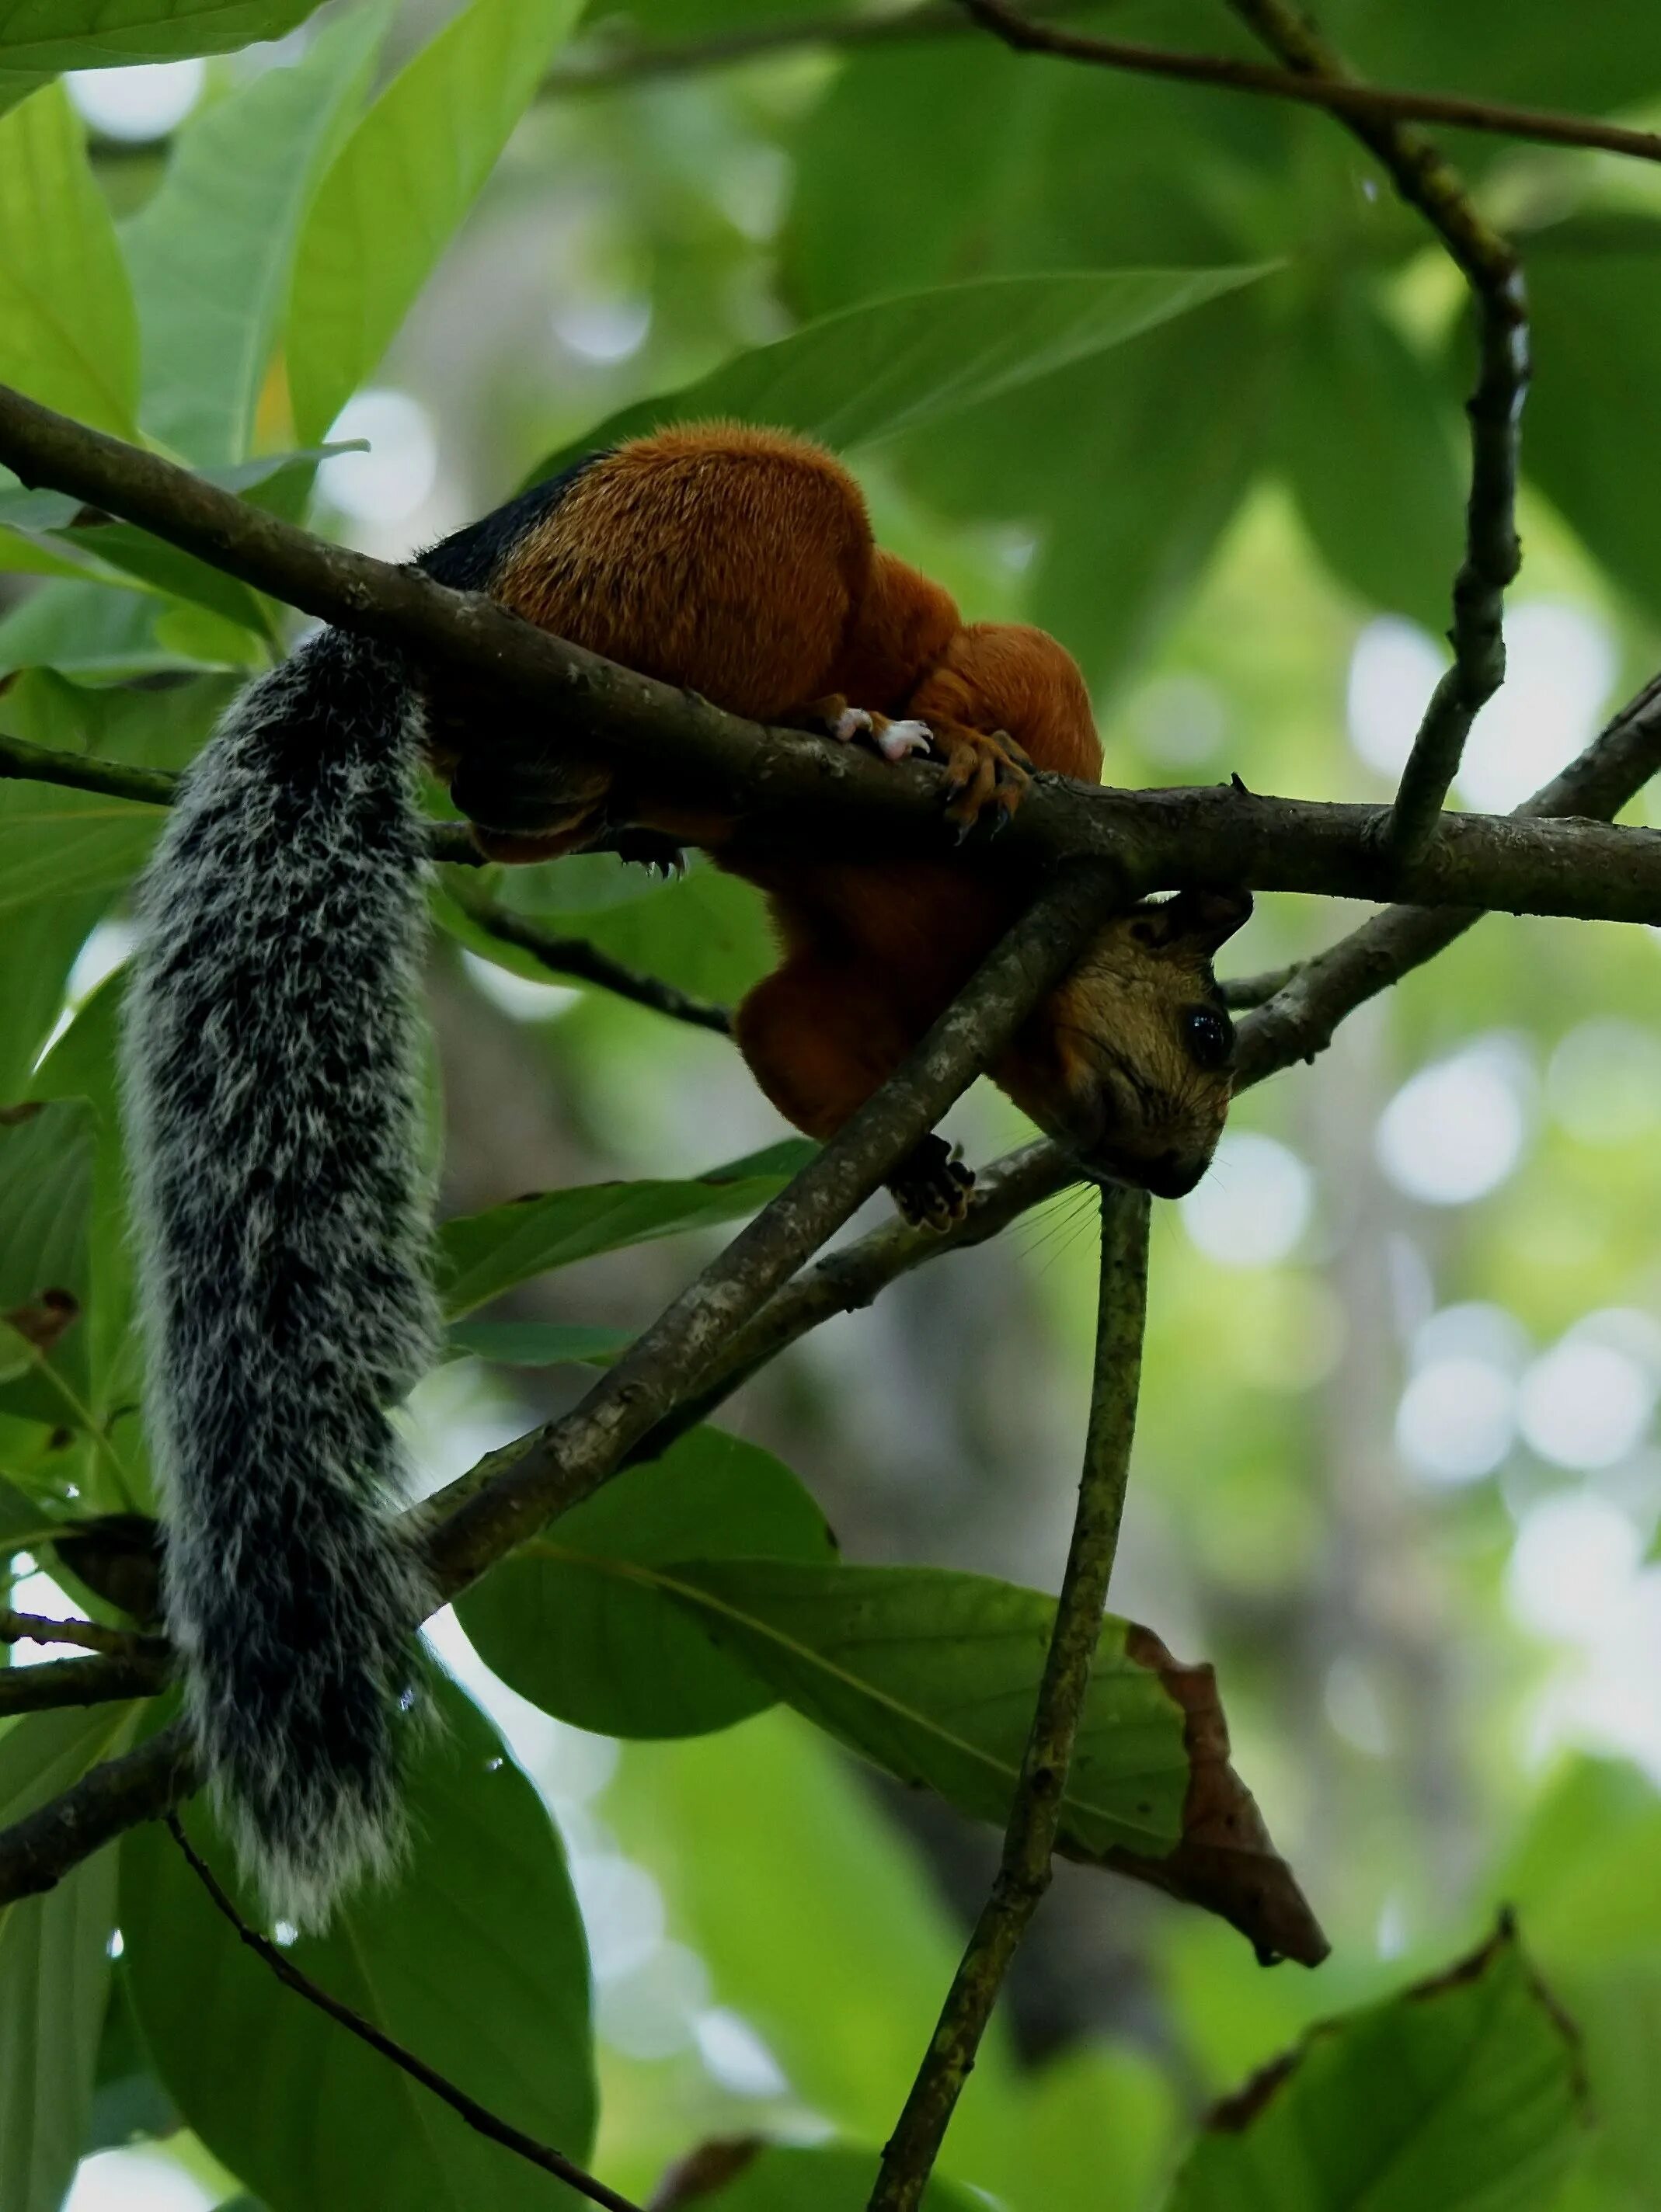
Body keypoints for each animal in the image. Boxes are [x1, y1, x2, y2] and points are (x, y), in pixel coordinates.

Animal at [130, 422, 1247, 1929]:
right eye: (1206, 1031)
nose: (1179, 1174)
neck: (993, 964)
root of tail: (454, 574)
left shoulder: (861, 990)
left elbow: (782, 1031)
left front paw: (925, 1173)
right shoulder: (1035, 718)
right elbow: (998, 665)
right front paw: (968, 747)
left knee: (521, 804)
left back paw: (599, 794)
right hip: (731, 531)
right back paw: (840, 726)